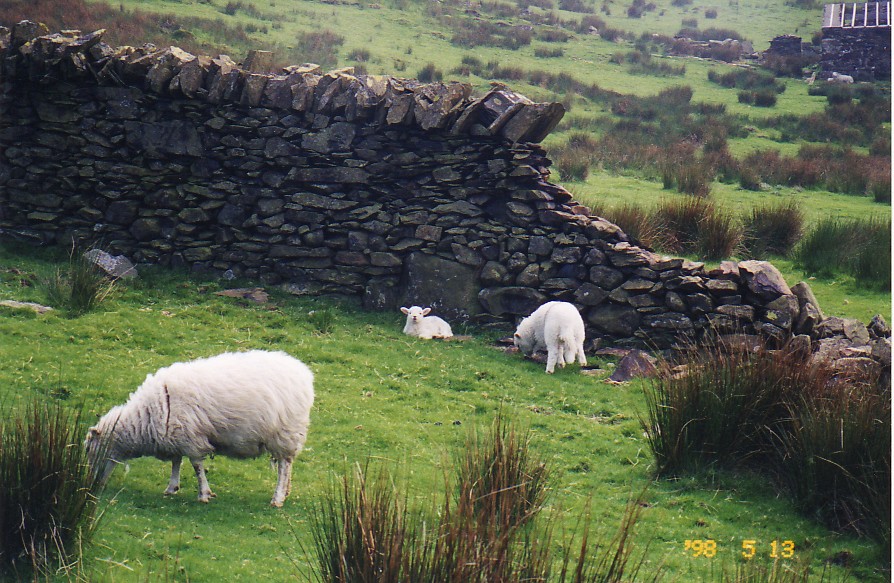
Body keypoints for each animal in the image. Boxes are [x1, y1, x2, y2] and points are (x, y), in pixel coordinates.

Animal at [85, 350, 314, 507]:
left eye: (89, 451)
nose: (91, 483)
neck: (144, 418)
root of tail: (303, 374)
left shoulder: (191, 438)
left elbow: (196, 467)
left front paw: (204, 494)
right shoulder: (176, 436)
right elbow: (176, 462)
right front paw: (172, 487)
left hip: (284, 433)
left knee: (284, 466)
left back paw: (277, 497)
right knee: (288, 464)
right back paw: (286, 492)